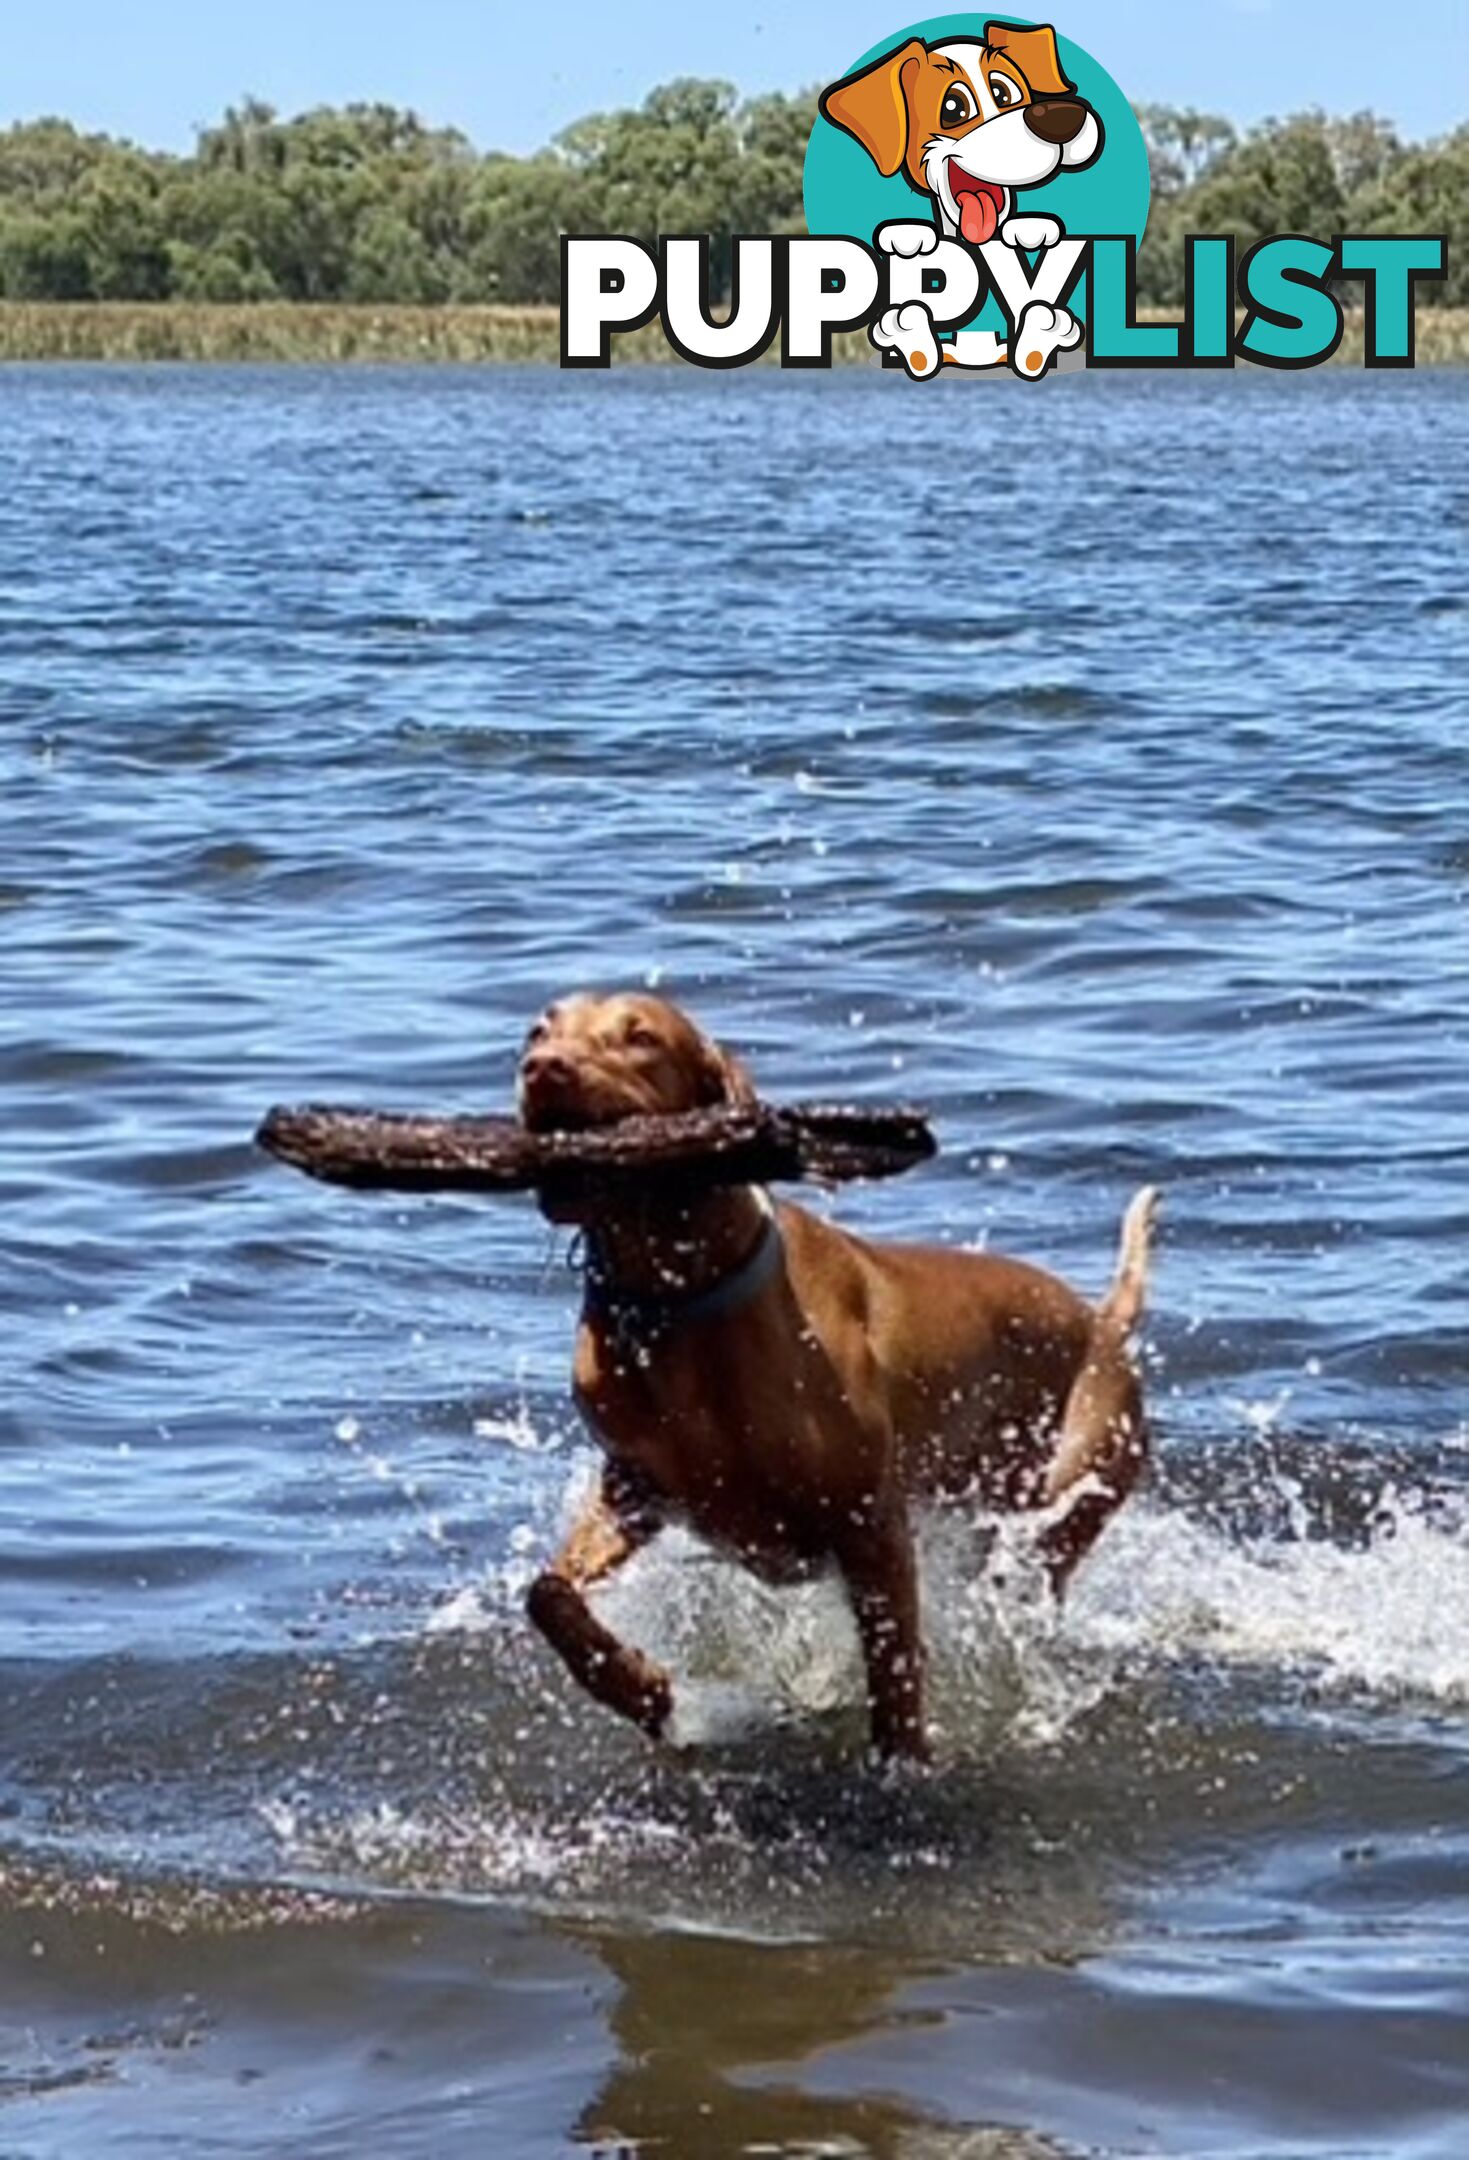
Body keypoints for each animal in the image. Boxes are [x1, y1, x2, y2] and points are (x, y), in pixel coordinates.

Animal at [522, 989, 1149, 1753]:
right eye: (539, 1030)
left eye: (640, 1037)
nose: (541, 1067)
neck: (676, 1303)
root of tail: (1101, 1322)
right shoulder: (637, 1491)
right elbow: (546, 1595)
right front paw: (644, 1690)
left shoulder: (868, 1523)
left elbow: (895, 1676)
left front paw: (901, 1764)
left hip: (1064, 1499)